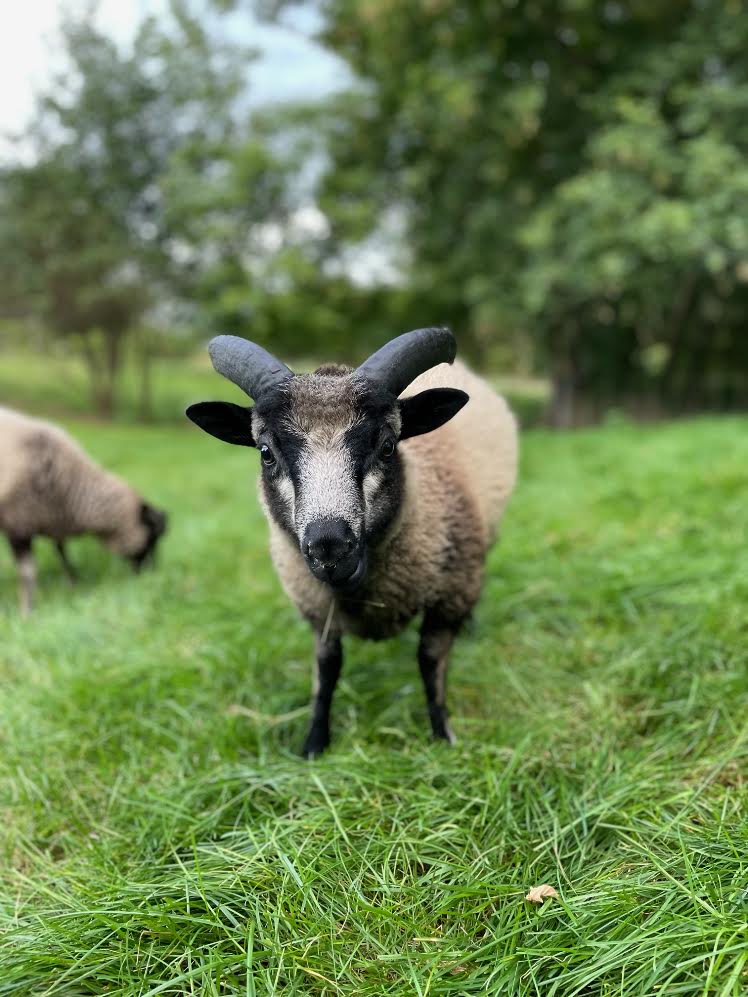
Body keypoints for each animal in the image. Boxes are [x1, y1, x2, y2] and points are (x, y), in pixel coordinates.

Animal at [0, 406, 167, 614]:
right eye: (153, 538)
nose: (151, 574)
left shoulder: (51, 517)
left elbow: (62, 552)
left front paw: (73, 584)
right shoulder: (18, 523)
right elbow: (28, 572)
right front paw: (27, 610)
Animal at [187, 327, 518, 756]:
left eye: (388, 445)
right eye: (265, 452)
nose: (329, 546)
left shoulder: (450, 597)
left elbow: (430, 662)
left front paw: (443, 736)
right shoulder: (317, 607)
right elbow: (327, 668)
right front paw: (314, 744)